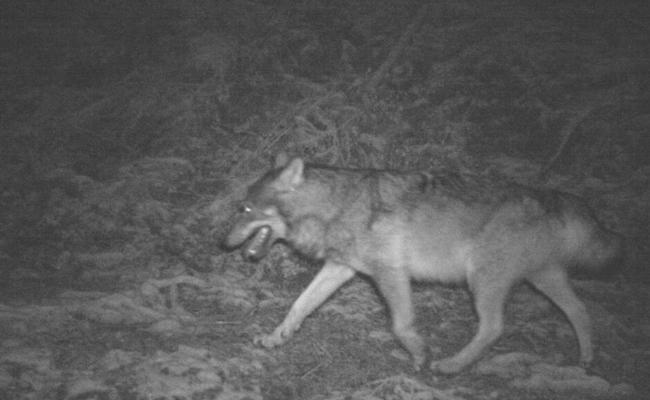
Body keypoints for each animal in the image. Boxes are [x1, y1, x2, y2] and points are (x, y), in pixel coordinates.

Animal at [224, 153, 622, 374]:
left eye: (245, 209)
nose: (221, 243)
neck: (335, 205)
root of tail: (550, 195)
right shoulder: (341, 269)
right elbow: (299, 306)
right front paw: (275, 338)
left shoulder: (390, 274)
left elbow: (401, 326)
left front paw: (419, 355)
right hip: (542, 280)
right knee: (580, 311)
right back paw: (586, 360)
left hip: (482, 281)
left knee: (494, 328)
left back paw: (452, 366)